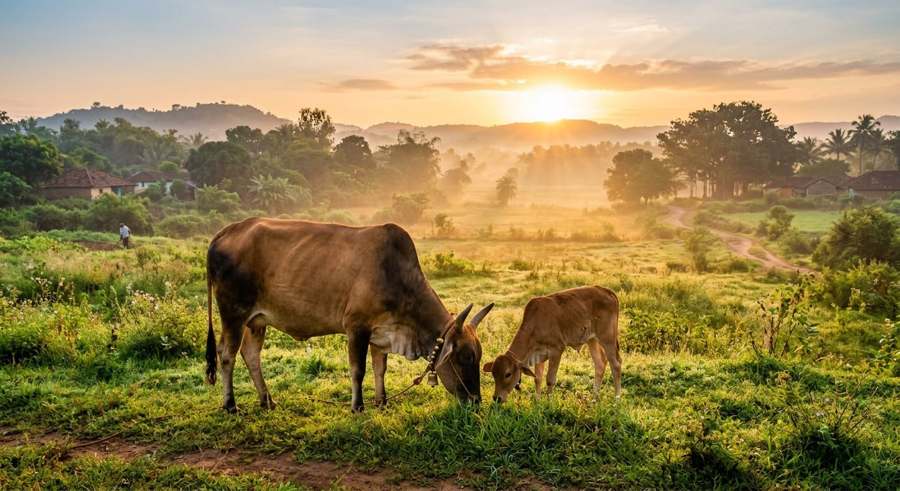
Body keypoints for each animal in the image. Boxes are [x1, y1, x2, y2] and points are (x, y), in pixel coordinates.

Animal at [204, 218, 493, 413]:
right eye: (465, 357)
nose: (476, 401)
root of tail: (226, 232)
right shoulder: (356, 327)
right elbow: (358, 370)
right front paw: (358, 406)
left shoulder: (382, 333)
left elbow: (380, 368)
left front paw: (382, 402)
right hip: (233, 313)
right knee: (226, 355)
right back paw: (230, 405)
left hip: (256, 320)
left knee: (251, 355)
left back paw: (267, 401)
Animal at [482, 286, 621, 403]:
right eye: (493, 374)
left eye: (508, 374)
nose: (497, 398)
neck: (536, 323)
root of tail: (607, 291)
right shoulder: (538, 355)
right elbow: (537, 379)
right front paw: (537, 402)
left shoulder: (557, 350)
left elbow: (550, 380)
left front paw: (548, 403)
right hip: (592, 339)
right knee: (600, 364)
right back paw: (594, 398)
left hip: (607, 338)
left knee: (616, 364)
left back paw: (617, 400)